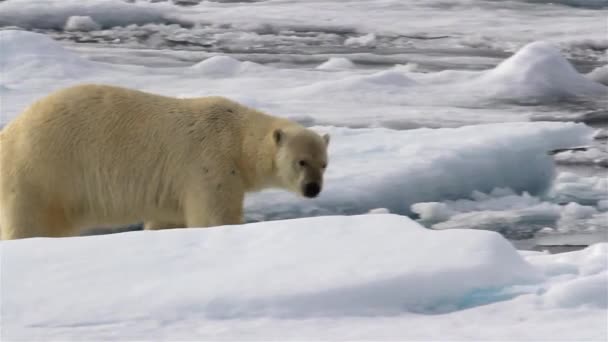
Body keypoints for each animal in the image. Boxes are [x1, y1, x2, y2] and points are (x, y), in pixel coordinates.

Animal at [0, 84, 330, 239]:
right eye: (301, 162)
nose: (313, 188)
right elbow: (213, 216)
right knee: (30, 223)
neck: (237, 138)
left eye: (324, 163)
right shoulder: (209, 163)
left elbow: (166, 219)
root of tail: (8, 133)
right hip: (42, 172)